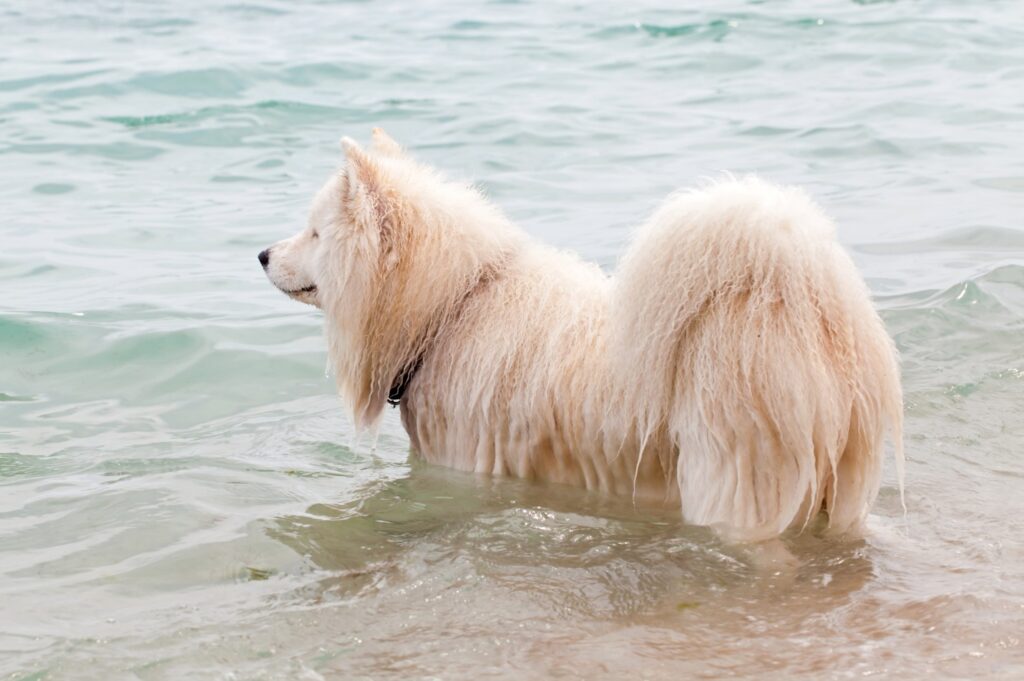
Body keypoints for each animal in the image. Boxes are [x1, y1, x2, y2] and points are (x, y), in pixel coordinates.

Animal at [260, 129, 901, 540]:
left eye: (314, 233)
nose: (262, 253)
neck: (451, 308)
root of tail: (799, 304)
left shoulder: (462, 467)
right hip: (839, 491)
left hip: (730, 478)